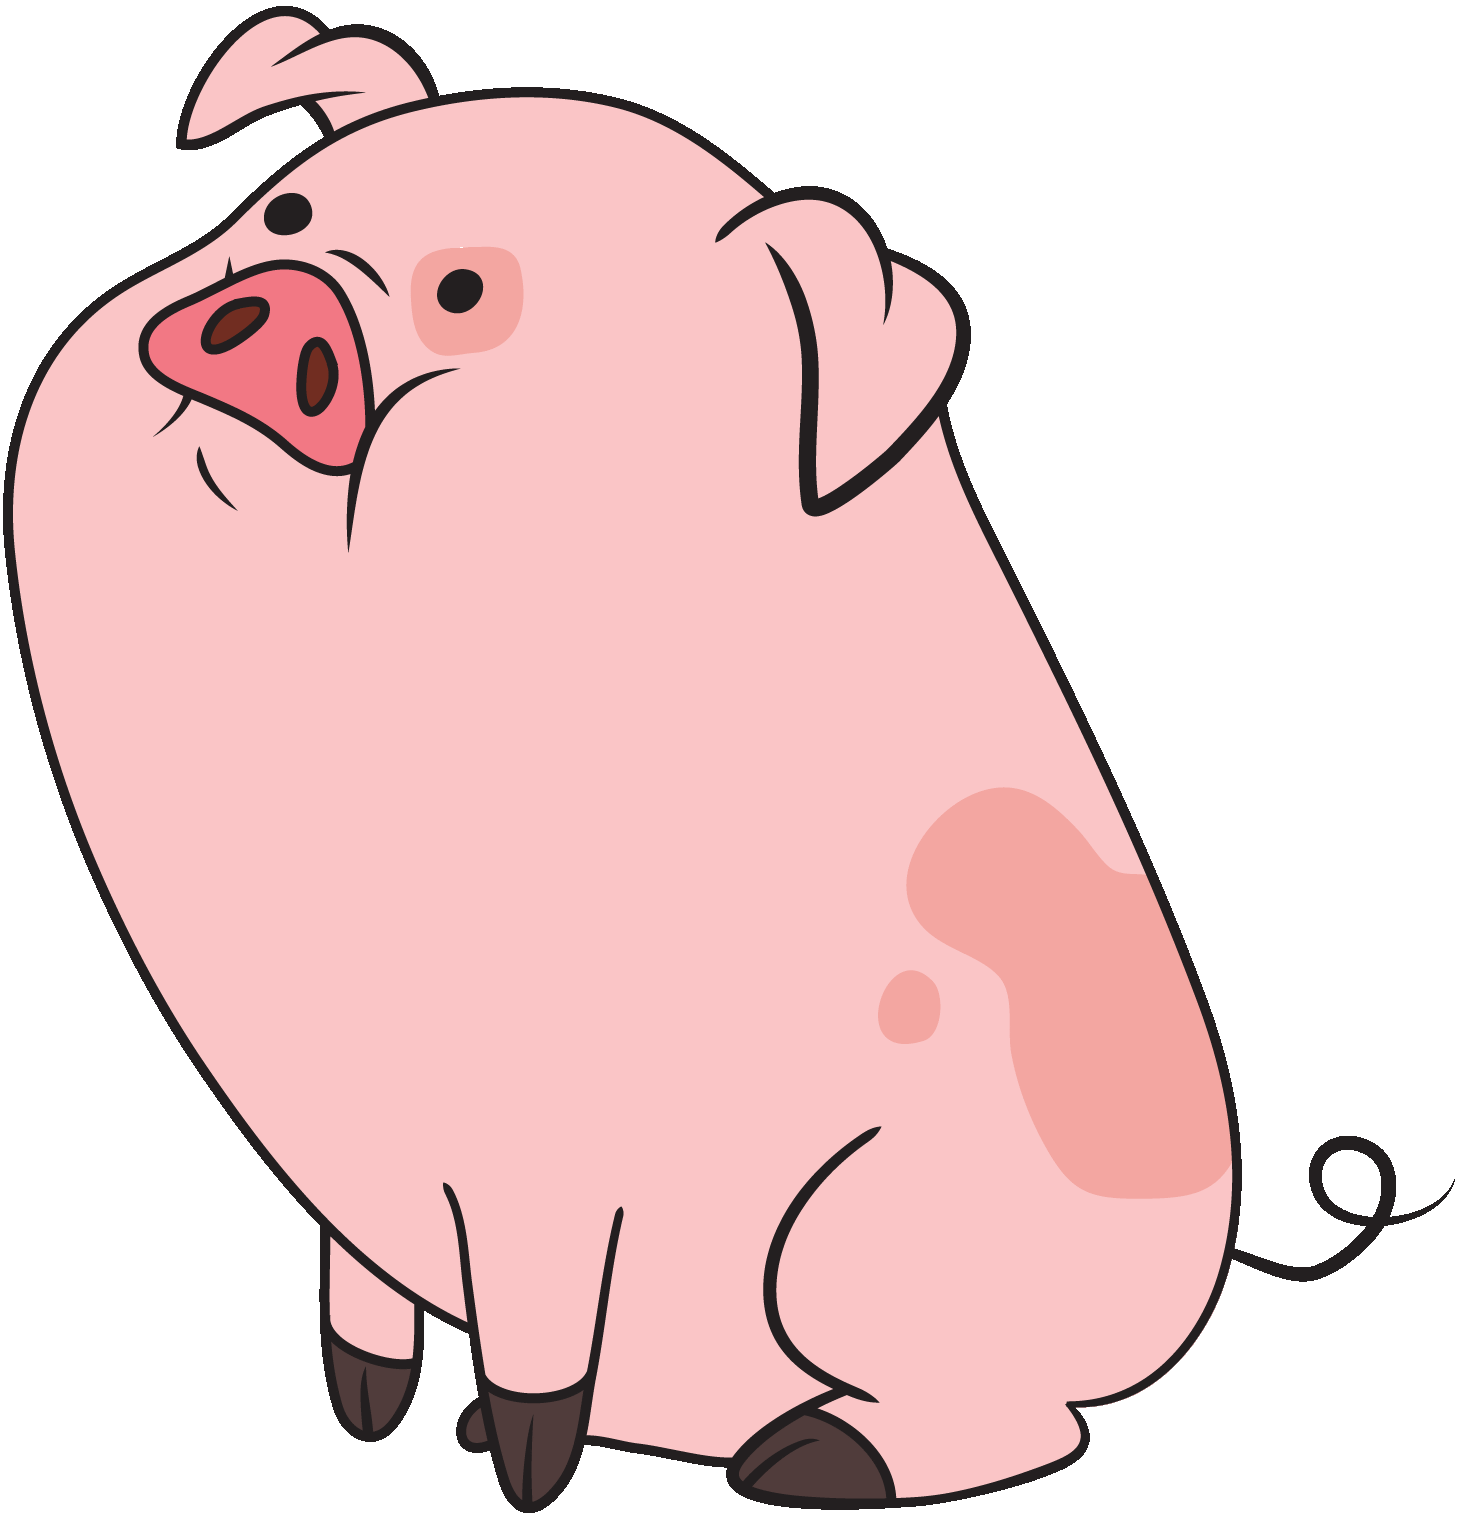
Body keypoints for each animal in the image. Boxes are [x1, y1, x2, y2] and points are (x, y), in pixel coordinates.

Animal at [7, 10, 1235, 1511]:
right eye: (282, 215)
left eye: (466, 293)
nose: (280, 300)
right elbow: (364, 1284)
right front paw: (372, 1410)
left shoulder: (549, 1128)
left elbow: (538, 1310)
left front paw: (530, 1477)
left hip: (869, 1242)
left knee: (1007, 1411)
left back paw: (806, 1461)